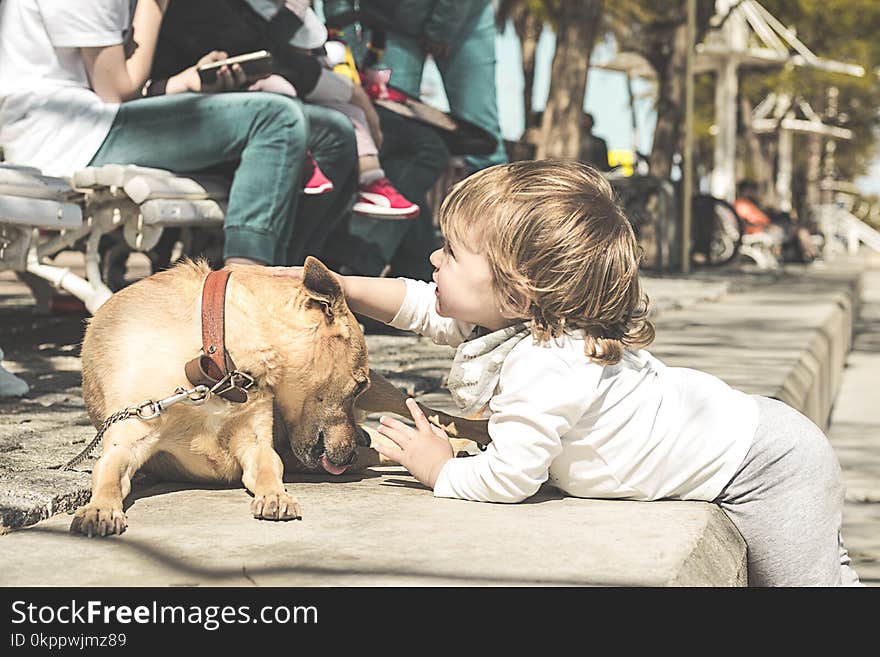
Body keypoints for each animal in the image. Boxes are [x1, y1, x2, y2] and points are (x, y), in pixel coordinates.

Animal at [70, 254, 368, 536]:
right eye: (360, 386)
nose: (353, 455)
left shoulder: (255, 443)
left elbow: (269, 468)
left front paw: (275, 495)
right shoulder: (127, 440)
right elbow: (108, 476)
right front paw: (99, 509)